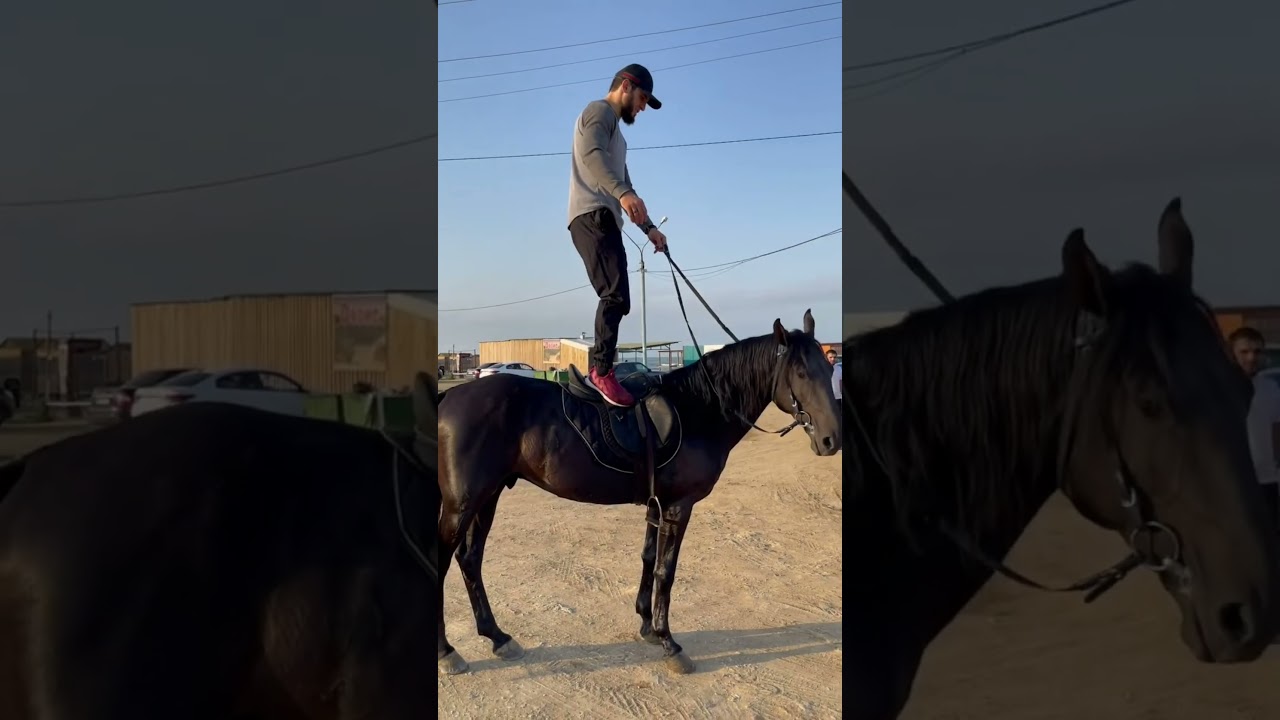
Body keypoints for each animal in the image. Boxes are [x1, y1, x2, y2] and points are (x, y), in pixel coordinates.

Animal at [436, 311, 841, 676]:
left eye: (828, 367)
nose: (830, 440)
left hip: (487, 498)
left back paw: (498, 637)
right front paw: (668, 641)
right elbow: (666, 570)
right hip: (463, 504)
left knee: (470, 560)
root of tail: (449, 397)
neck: (698, 408)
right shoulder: (678, 507)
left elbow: (648, 559)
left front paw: (647, 624)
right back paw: (447, 652)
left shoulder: (655, 505)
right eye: (801, 373)